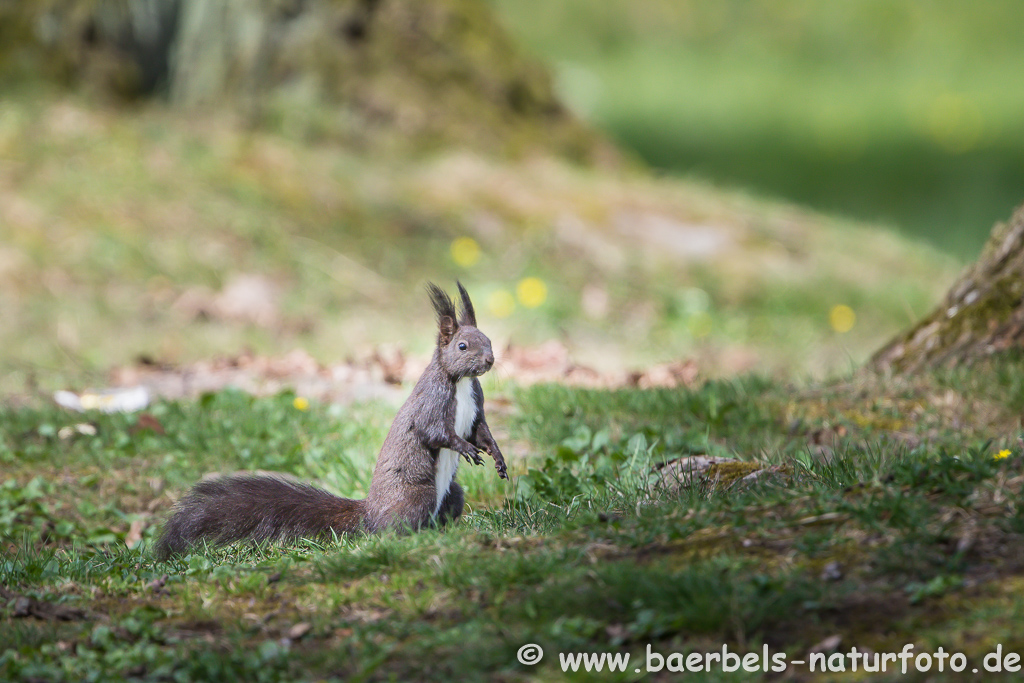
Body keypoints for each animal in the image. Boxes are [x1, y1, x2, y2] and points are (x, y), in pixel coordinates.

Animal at [155, 282, 507, 561]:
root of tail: (370, 515)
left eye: (489, 339)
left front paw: (498, 457)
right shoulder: (431, 404)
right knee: (394, 530)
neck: (460, 382)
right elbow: (435, 432)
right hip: (417, 497)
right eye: (462, 346)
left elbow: (481, 432)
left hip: (453, 494)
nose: (490, 360)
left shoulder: (475, 409)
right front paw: (464, 449)